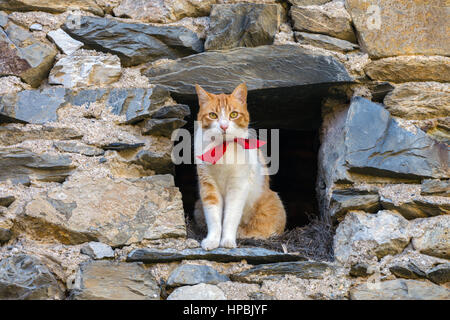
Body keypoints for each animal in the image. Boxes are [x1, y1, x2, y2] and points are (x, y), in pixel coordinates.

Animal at [192, 82, 284, 250]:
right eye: (213, 115)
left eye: (233, 114)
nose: (224, 126)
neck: (223, 149)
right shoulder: (208, 186)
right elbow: (214, 218)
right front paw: (213, 240)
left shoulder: (237, 186)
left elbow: (231, 216)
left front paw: (228, 240)